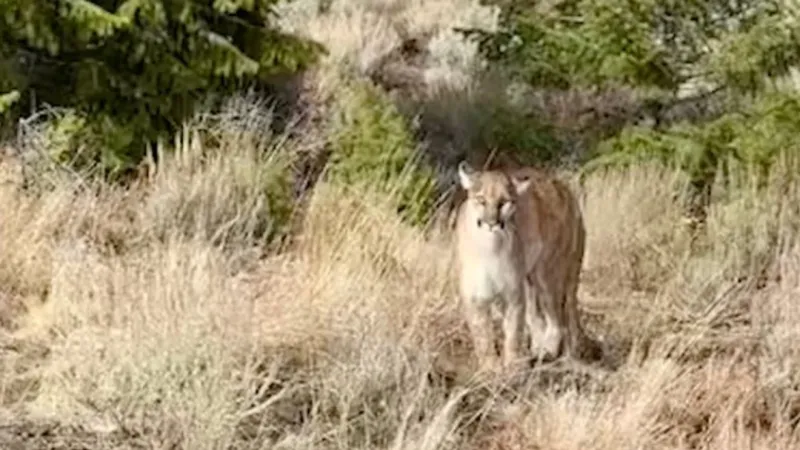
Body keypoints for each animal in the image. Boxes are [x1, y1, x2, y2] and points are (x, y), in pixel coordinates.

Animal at [453, 160, 596, 371]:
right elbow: (482, 335)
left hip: (546, 273)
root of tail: (563, 188)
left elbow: (513, 332)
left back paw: (548, 351)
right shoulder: (475, 295)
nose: (491, 223)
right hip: (530, 281)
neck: (490, 247)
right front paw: (490, 367)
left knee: (558, 319)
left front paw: (512, 365)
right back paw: (539, 350)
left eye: (504, 202)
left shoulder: (513, 294)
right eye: (481, 200)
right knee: (539, 318)